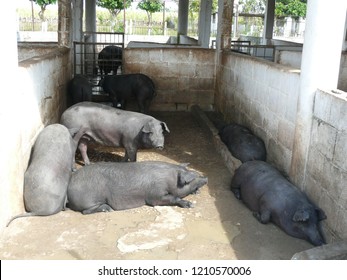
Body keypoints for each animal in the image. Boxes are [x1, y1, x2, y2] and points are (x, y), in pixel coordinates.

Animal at [68, 161, 209, 213]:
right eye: (193, 177)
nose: (206, 178)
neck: (170, 180)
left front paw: (197, 193)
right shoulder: (155, 195)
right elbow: (172, 198)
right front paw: (190, 205)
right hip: (89, 200)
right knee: (85, 211)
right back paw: (108, 209)